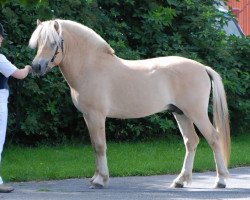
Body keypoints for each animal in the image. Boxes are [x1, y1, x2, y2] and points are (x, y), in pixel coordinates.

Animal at [28, 19, 230, 189]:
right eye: (38, 43)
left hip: (196, 113)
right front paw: (95, 178)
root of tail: (202, 68)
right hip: (180, 113)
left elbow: (100, 146)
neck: (91, 67)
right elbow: (94, 146)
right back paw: (180, 181)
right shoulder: (88, 116)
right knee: (191, 141)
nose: (36, 67)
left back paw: (220, 180)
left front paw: (100, 180)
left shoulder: (96, 115)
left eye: (53, 43)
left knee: (214, 138)